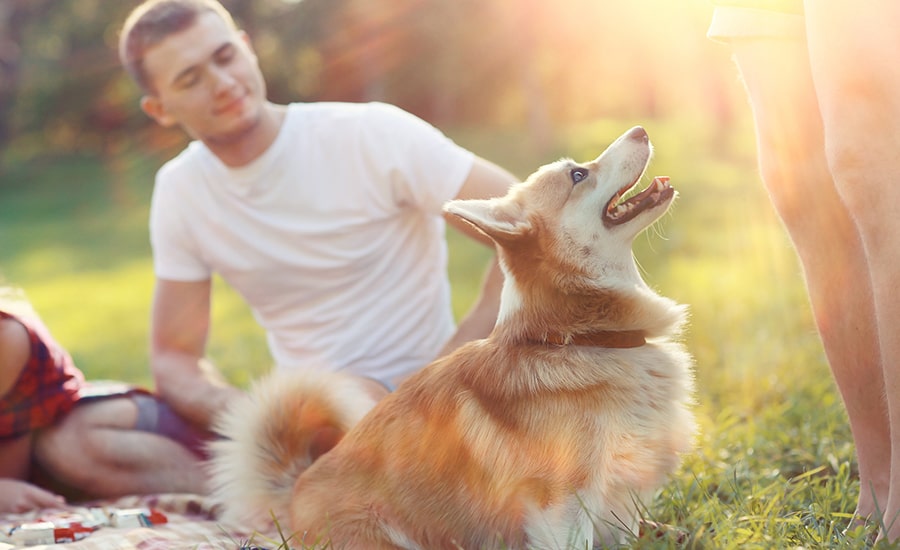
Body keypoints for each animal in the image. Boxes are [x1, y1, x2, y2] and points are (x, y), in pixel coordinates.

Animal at [211, 127, 696, 548]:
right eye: (577, 174)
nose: (640, 130)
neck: (578, 337)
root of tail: (293, 497)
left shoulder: (619, 498)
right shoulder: (562, 504)